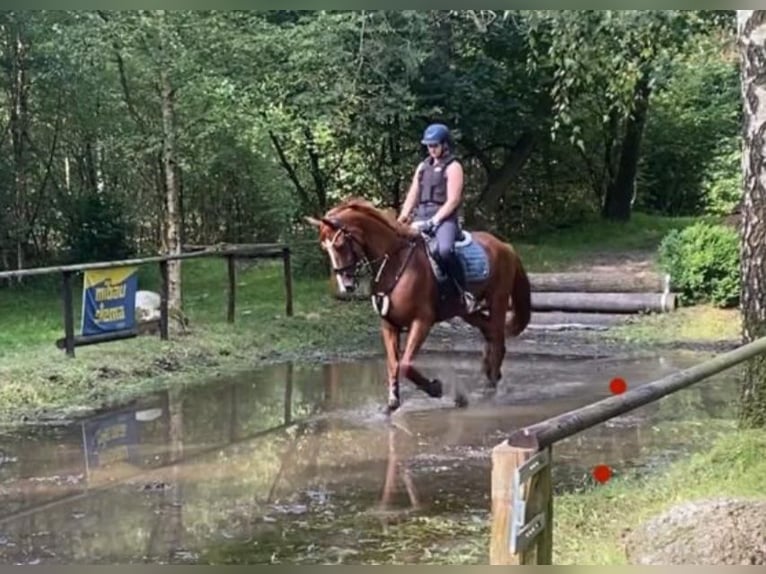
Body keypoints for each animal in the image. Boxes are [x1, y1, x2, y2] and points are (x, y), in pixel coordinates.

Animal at [306, 198, 536, 414]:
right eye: (324, 248)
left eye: (339, 244)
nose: (346, 285)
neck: (395, 263)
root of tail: (505, 246)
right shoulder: (389, 325)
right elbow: (393, 363)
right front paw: (392, 403)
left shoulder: (422, 321)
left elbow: (406, 365)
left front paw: (437, 388)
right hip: (466, 311)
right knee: (490, 333)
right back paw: (489, 374)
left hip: (498, 300)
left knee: (497, 339)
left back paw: (491, 387)